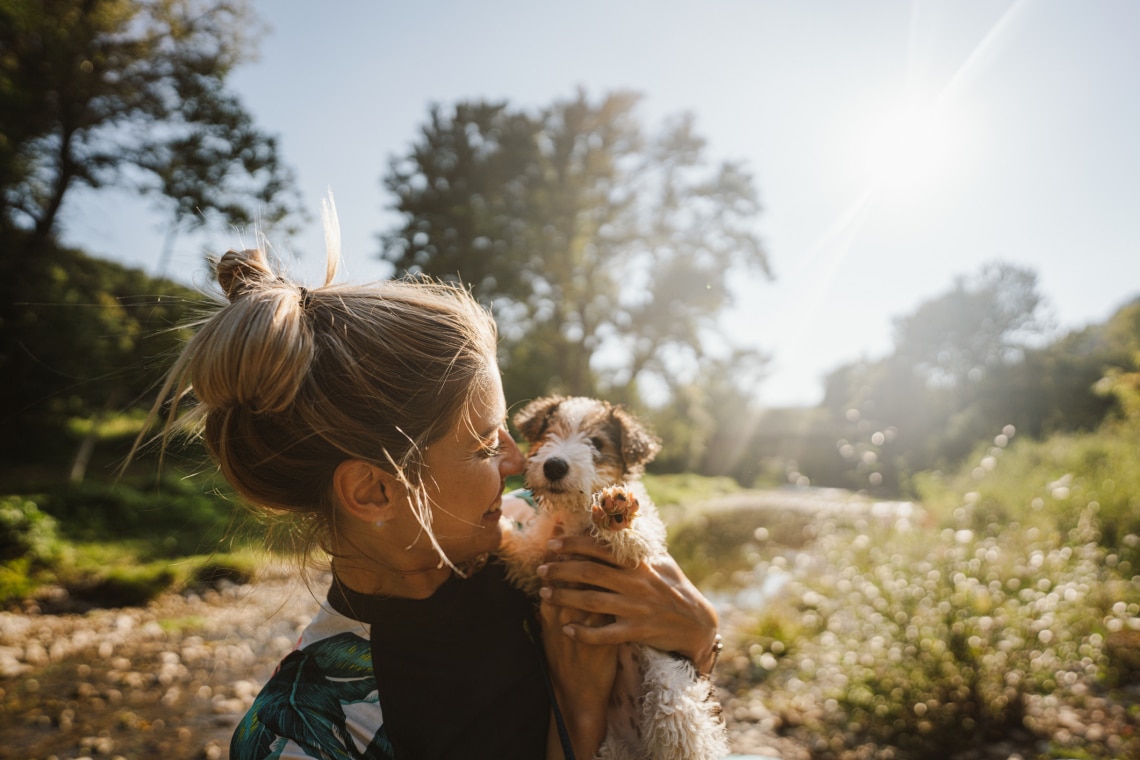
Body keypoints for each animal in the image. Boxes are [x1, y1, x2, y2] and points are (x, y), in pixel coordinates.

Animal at [501, 396, 729, 760]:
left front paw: (615, 515)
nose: (554, 466)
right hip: (610, 747)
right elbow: (520, 549)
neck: (577, 514)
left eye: (597, 443)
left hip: (670, 684)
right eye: (549, 433)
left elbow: (635, 537)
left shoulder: (647, 545)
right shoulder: (538, 559)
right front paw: (490, 529)